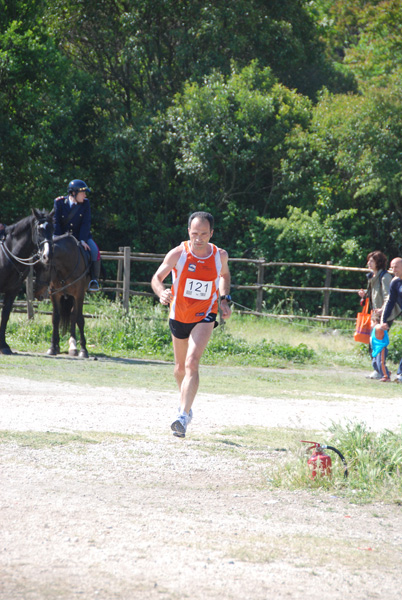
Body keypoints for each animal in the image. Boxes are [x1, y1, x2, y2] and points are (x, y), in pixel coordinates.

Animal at [0, 209, 53, 354]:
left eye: (52, 229)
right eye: (39, 229)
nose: (47, 255)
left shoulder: (12, 290)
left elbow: (5, 315)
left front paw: (4, 346)